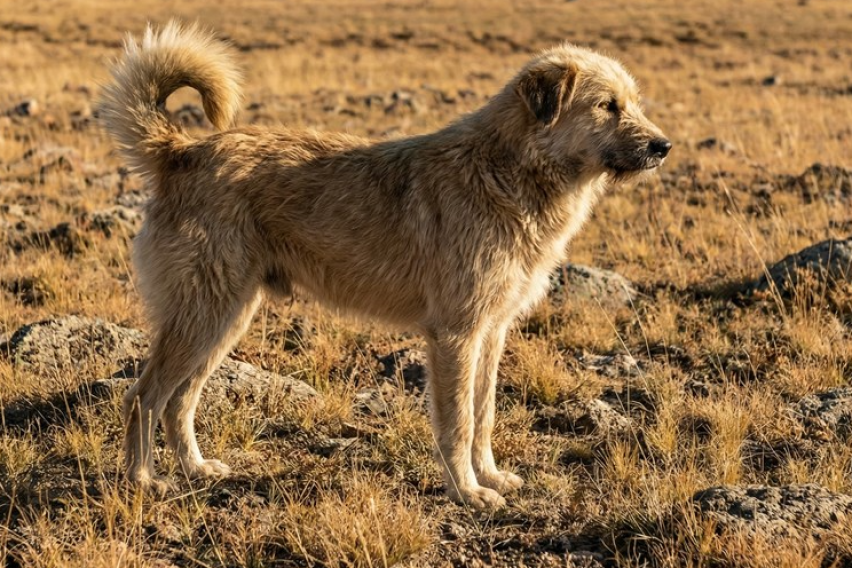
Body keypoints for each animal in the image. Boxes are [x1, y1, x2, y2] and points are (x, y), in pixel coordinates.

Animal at [99, 21, 670, 509]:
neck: (509, 171)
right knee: (143, 395)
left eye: (635, 103)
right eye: (607, 105)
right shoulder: (455, 334)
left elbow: (484, 414)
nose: (664, 146)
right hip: (204, 315)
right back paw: (144, 480)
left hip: (225, 317)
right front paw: (468, 493)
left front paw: (488, 476)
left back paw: (195, 470)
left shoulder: (491, 331)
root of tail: (182, 151)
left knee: (179, 399)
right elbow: (458, 422)